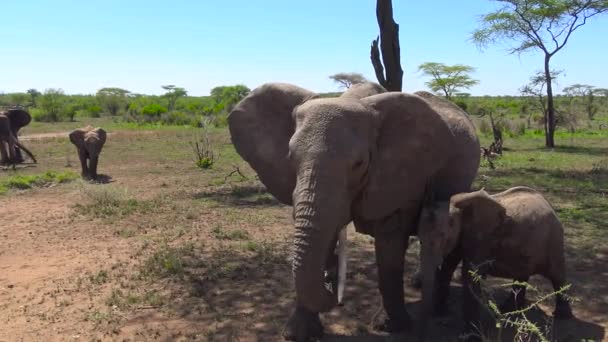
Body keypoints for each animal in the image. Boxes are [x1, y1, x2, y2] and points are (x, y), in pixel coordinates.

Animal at [227, 81, 480, 340]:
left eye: (358, 164)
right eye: (291, 158)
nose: (333, 289)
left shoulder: (400, 175)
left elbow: (389, 248)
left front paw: (390, 327)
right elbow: (323, 234)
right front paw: (298, 334)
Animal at [418, 186, 576, 336]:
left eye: (443, 236)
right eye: (420, 239)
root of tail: (549, 205)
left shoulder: (481, 238)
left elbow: (469, 275)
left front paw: (470, 336)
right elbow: (448, 266)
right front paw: (440, 313)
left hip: (553, 240)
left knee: (557, 275)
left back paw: (561, 316)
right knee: (522, 274)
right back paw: (508, 309)